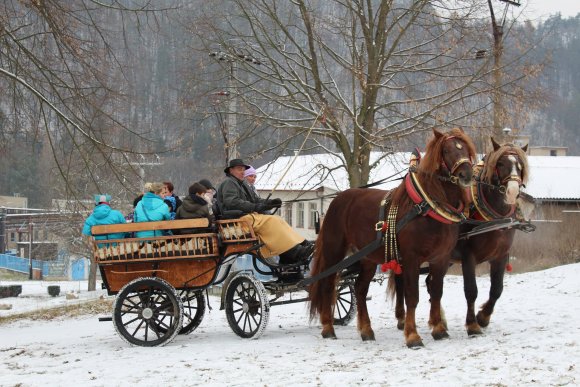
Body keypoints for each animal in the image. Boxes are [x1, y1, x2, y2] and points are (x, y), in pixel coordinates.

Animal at [308, 127, 476, 348]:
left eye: (465, 148)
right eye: (447, 150)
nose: (467, 174)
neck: (426, 207)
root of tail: (338, 199)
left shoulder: (440, 258)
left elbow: (436, 292)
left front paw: (439, 329)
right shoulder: (412, 259)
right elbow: (412, 296)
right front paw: (412, 336)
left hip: (368, 258)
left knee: (360, 289)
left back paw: (366, 331)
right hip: (334, 252)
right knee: (328, 286)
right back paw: (328, 327)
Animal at [454, 139, 532, 336]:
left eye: (520, 165)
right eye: (501, 164)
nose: (512, 192)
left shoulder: (500, 256)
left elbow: (497, 289)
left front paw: (483, 317)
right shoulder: (468, 256)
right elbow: (471, 290)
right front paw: (472, 324)